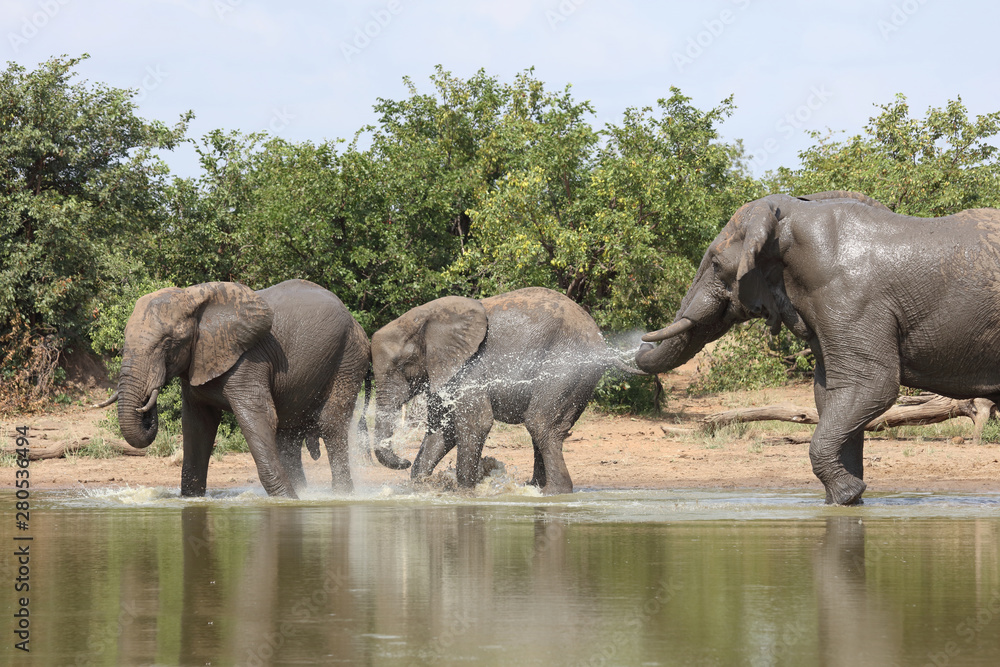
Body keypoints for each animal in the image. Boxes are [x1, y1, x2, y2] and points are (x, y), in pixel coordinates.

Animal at [100, 279, 370, 498]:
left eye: (168, 342)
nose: (146, 404)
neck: (193, 299)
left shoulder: (248, 360)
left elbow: (259, 417)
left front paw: (288, 499)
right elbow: (198, 425)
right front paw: (191, 499)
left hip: (349, 356)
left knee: (331, 425)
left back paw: (341, 496)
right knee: (288, 436)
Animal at [370, 287, 640, 494]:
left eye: (402, 364)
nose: (403, 460)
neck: (424, 317)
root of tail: (601, 341)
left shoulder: (470, 367)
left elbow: (475, 423)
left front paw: (465, 492)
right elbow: (441, 430)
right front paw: (422, 486)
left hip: (567, 366)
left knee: (541, 423)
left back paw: (553, 492)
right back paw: (535, 488)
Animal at [635, 190, 1000, 504]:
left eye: (714, 263)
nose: (635, 340)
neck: (792, 217)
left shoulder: (851, 298)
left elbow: (870, 386)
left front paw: (847, 493)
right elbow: (829, 395)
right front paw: (846, 500)